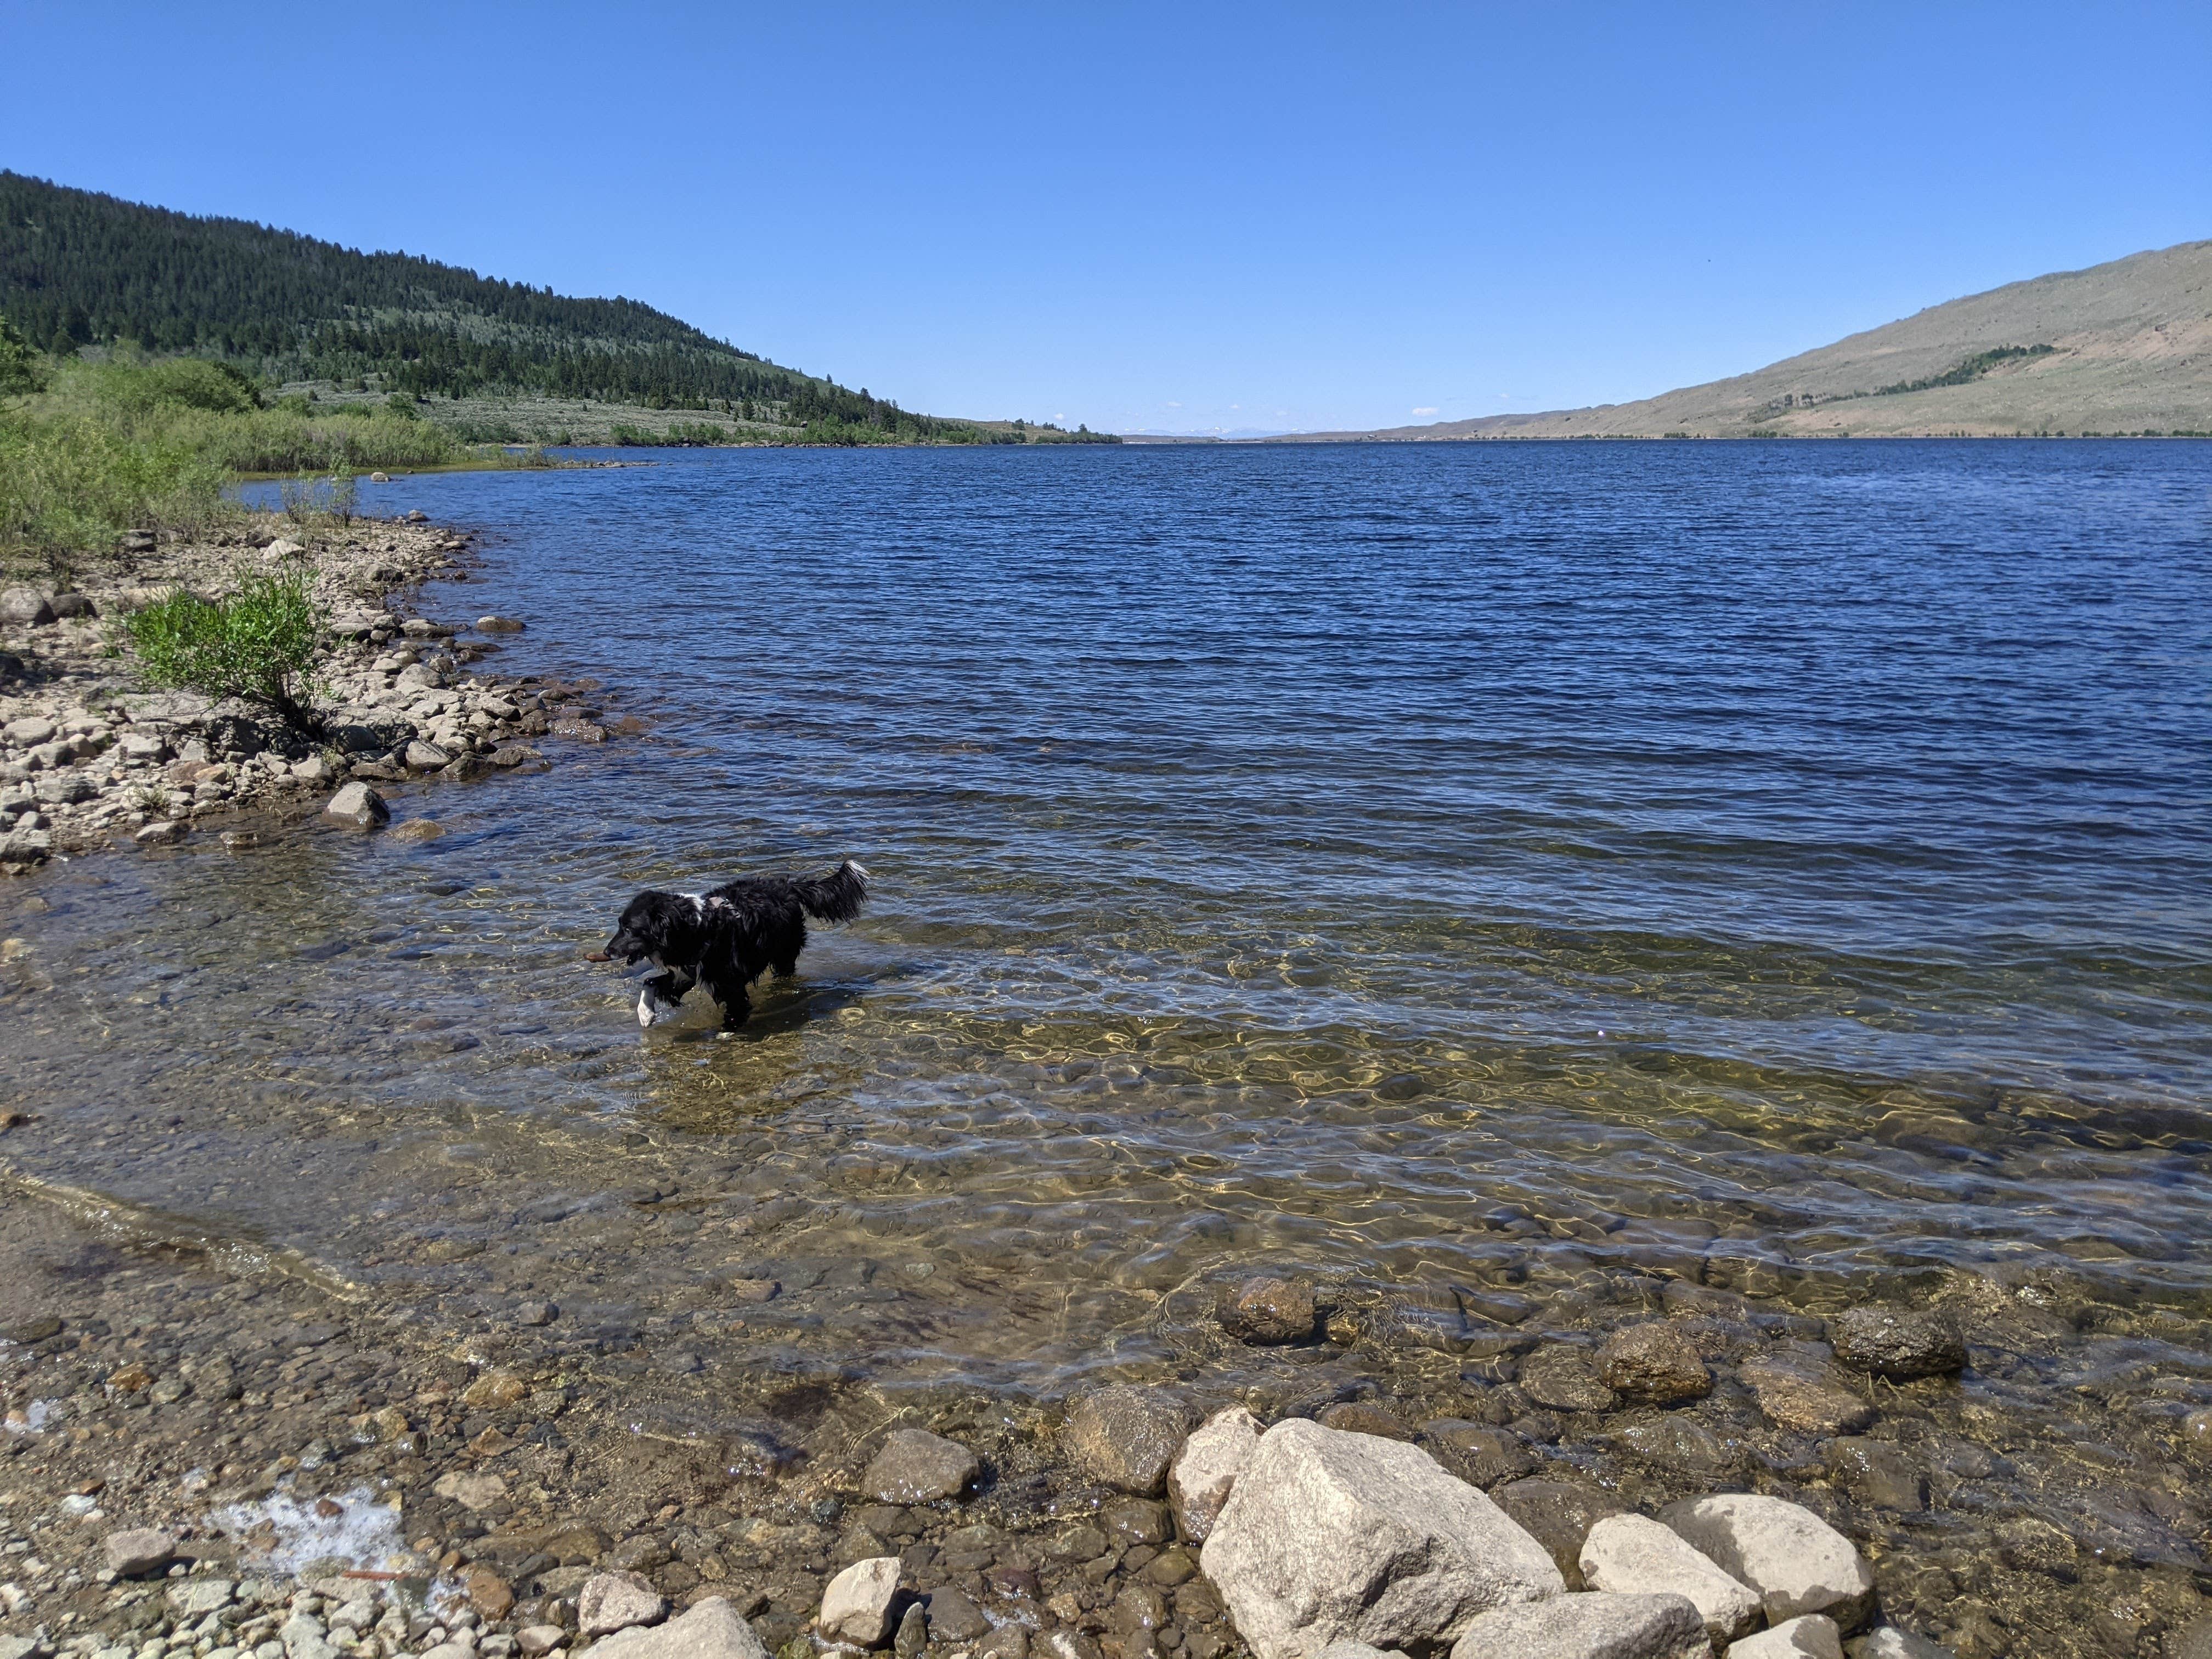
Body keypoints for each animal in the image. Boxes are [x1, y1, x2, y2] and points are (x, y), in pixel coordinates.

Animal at [597, 862, 871, 1035]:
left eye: (630, 929)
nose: (608, 952)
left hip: (784, 952)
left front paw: (725, 1035)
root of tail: (788, 885)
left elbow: (734, 1013)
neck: (697, 927)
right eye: (620, 925)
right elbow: (650, 983)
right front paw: (645, 1013)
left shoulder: (729, 984)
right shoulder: (686, 974)